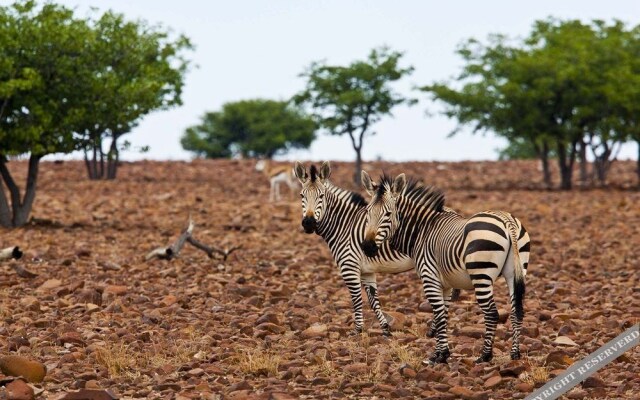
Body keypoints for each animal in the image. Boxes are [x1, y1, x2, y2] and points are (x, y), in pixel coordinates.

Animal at [294, 162, 456, 338]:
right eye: (302, 196)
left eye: (321, 196)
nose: (309, 223)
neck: (344, 226)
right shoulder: (367, 272)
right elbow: (373, 301)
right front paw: (385, 329)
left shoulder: (349, 268)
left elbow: (357, 299)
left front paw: (357, 330)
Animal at [360, 170, 528, 364]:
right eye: (367, 212)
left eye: (388, 214)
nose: (367, 247)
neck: (422, 230)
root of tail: (506, 219)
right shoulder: (446, 284)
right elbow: (445, 313)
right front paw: (441, 352)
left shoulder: (429, 278)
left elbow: (439, 314)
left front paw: (439, 355)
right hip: (515, 272)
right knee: (516, 311)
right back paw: (515, 353)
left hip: (481, 273)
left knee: (492, 313)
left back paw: (485, 356)